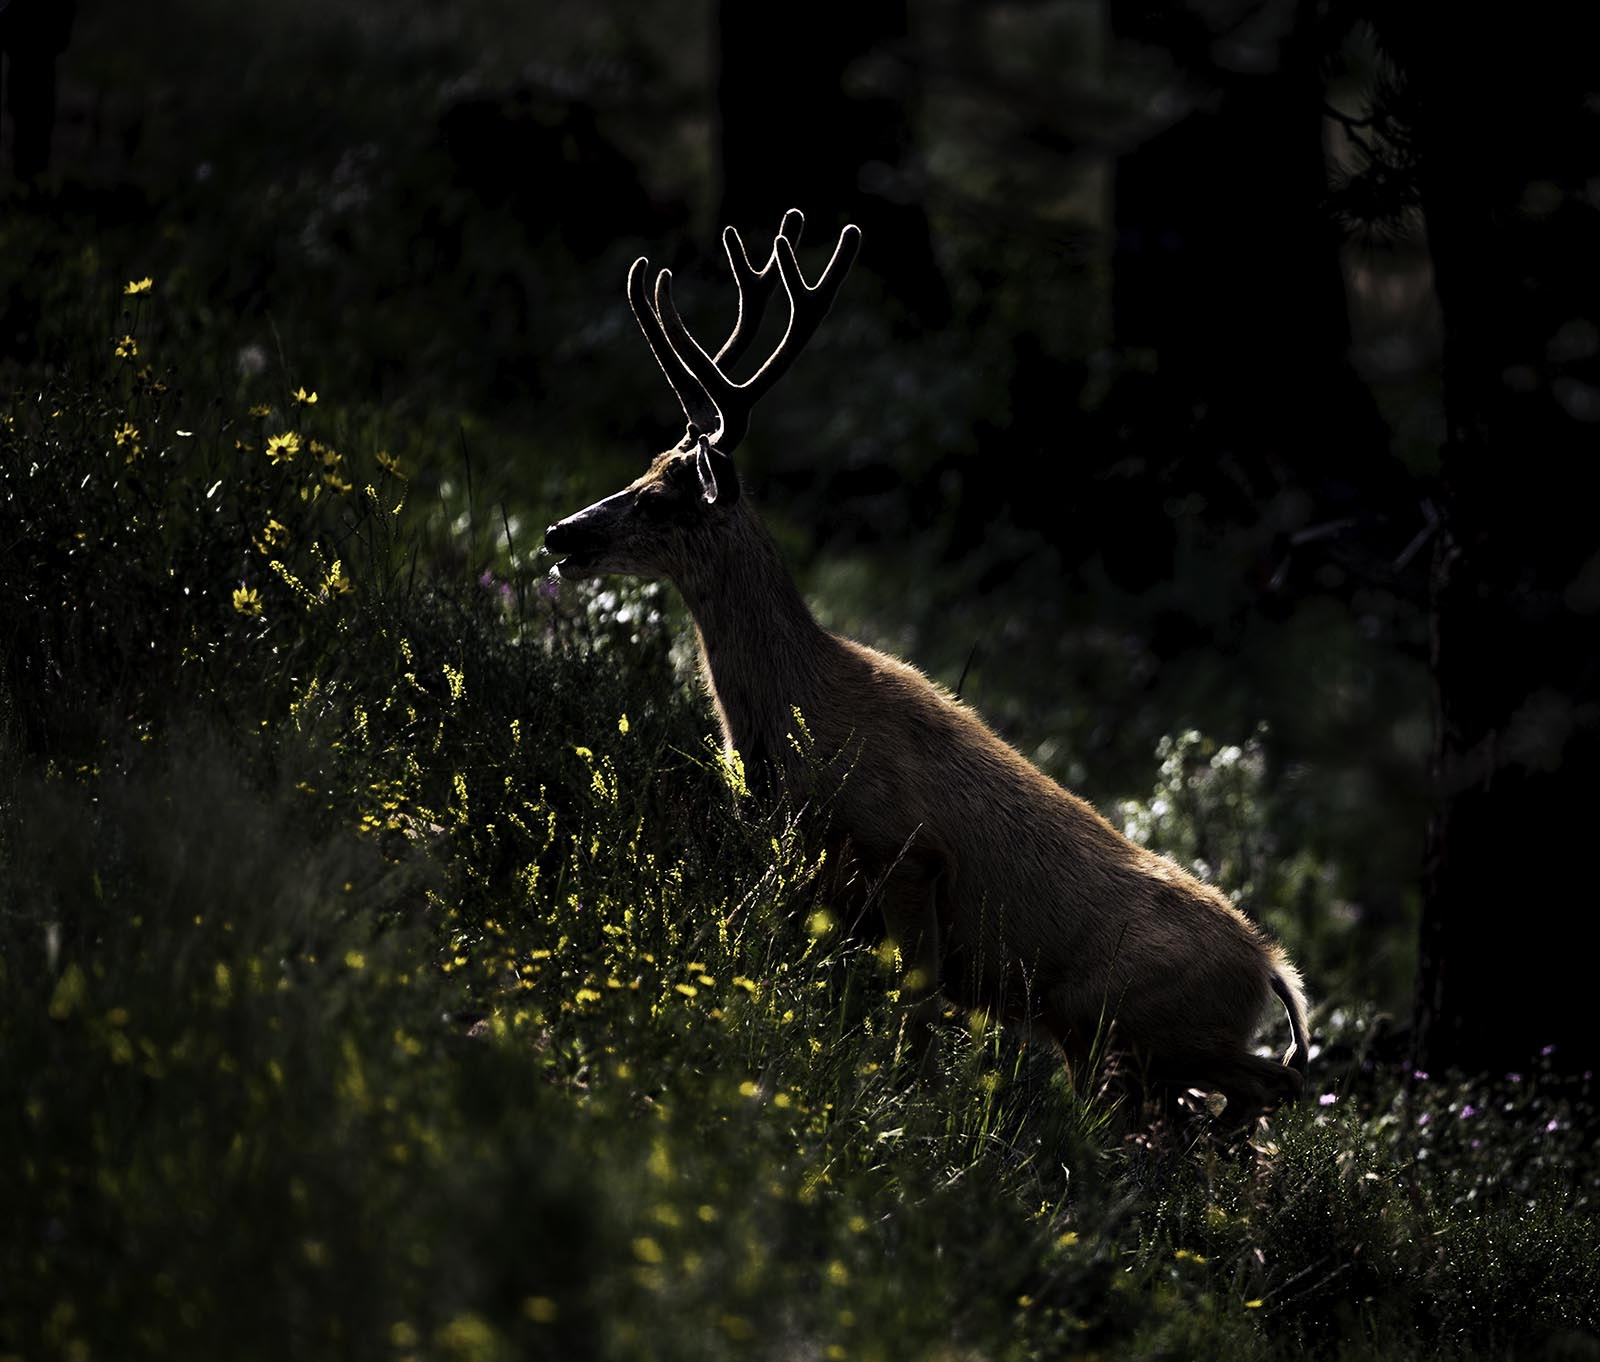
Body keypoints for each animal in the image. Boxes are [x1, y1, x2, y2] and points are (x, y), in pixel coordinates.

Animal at [544, 212, 1305, 1126]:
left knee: (1270, 1084)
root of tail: (1272, 967)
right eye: (644, 468)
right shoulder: (805, 871)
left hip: (1120, 1021)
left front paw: (895, 1118)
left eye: (660, 499)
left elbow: (913, 1023)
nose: (558, 533)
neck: (796, 715)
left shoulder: (907, 855)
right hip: (1116, 1045)